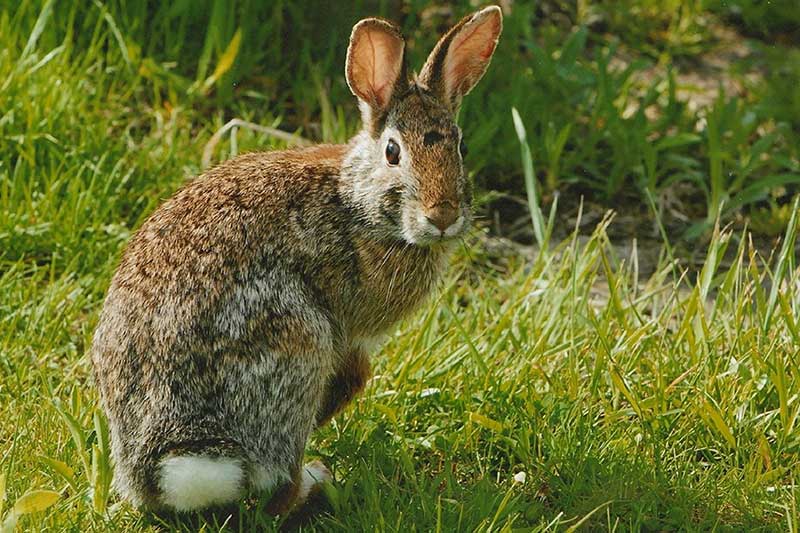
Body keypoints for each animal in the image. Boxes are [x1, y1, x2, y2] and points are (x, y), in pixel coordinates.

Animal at [92, 4, 500, 512]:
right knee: (278, 485)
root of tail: (157, 468)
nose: (442, 215)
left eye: (460, 147)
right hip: (295, 343)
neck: (356, 204)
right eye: (392, 152)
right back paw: (316, 479)